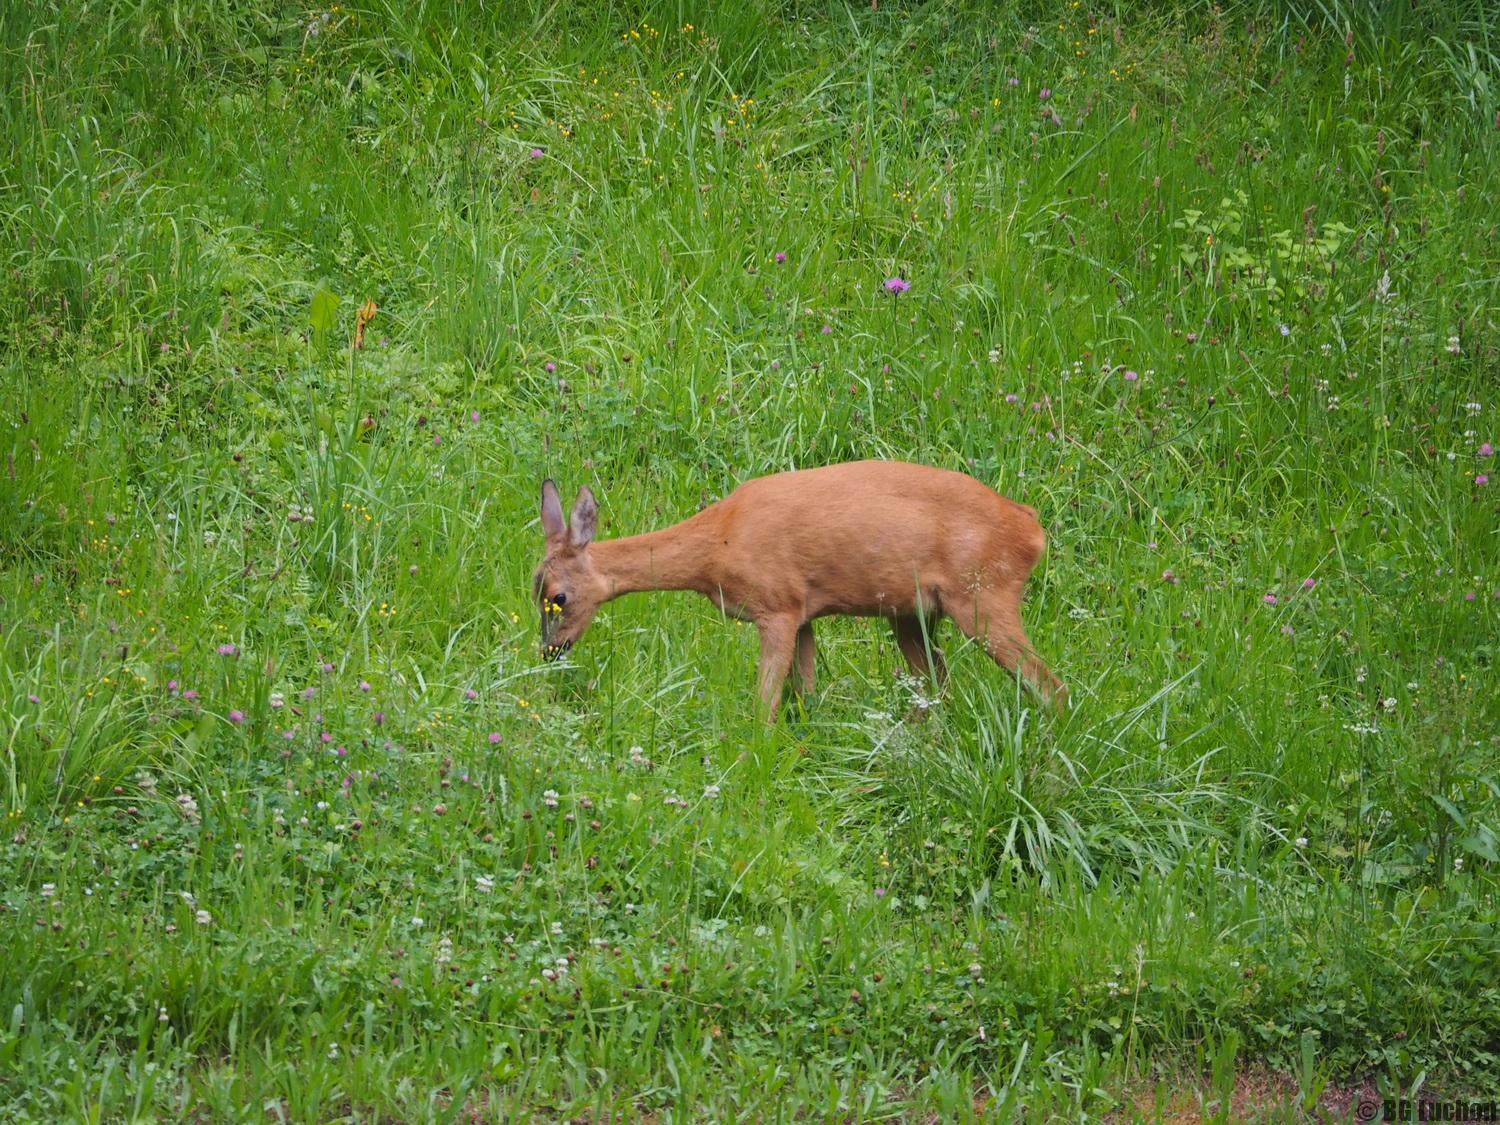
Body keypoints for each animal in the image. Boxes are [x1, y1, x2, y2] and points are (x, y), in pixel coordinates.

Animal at [537, 459, 1068, 717]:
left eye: (558, 598)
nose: (550, 652)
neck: (717, 546)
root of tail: (1031, 529)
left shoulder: (777, 605)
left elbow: (765, 703)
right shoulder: (806, 614)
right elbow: (808, 694)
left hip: (983, 595)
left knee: (1051, 686)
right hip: (913, 615)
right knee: (937, 688)